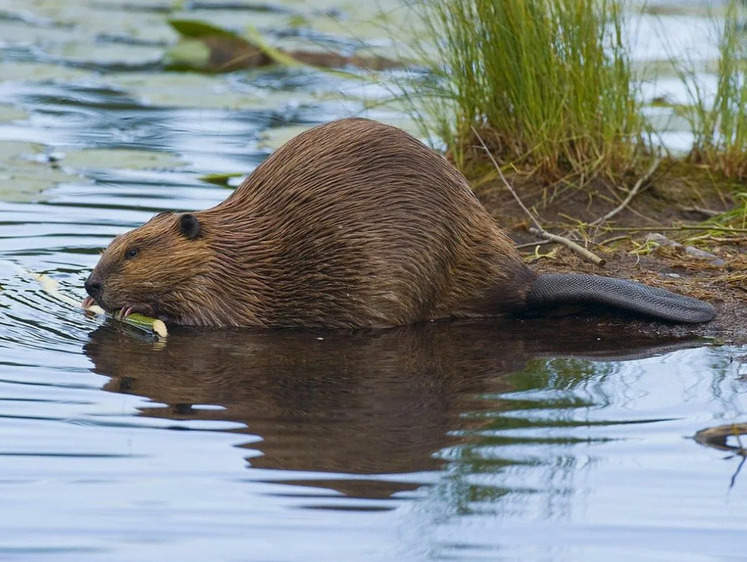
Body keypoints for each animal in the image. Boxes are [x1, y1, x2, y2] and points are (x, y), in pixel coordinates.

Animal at [80, 118, 712, 328]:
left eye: (134, 251)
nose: (91, 282)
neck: (231, 245)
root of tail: (528, 280)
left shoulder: (234, 286)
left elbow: (210, 317)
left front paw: (135, 311)